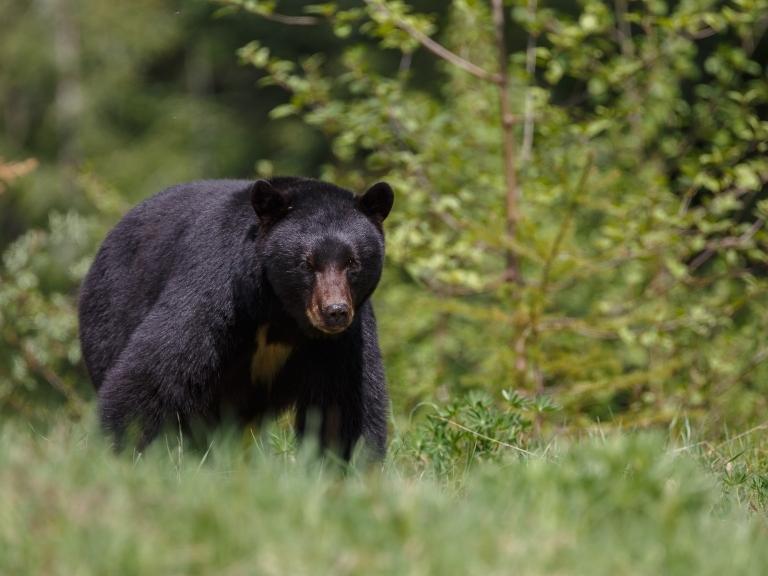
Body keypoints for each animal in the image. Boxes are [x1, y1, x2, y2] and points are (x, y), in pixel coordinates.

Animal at [79, 178, 396, 462]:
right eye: (306, 263)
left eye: (352, 262)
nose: (335, 311)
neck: (282, 313)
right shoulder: (218, 287)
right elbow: (157, 369)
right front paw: (119, 449)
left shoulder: (344, 339)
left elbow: (344, 403)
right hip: (111, 314)